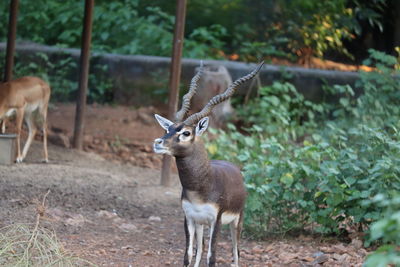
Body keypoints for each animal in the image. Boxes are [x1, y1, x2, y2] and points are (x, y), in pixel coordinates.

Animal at [152, 62, 262, 267]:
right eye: (168, 128)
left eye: (186, 133)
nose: (158, 142)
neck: (201, 187)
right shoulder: (189, 218)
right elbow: (188, 255)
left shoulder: (215, 221)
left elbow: (212, 257)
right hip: (200, 224)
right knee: (200, 249)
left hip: (237, 221)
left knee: (236, 252)